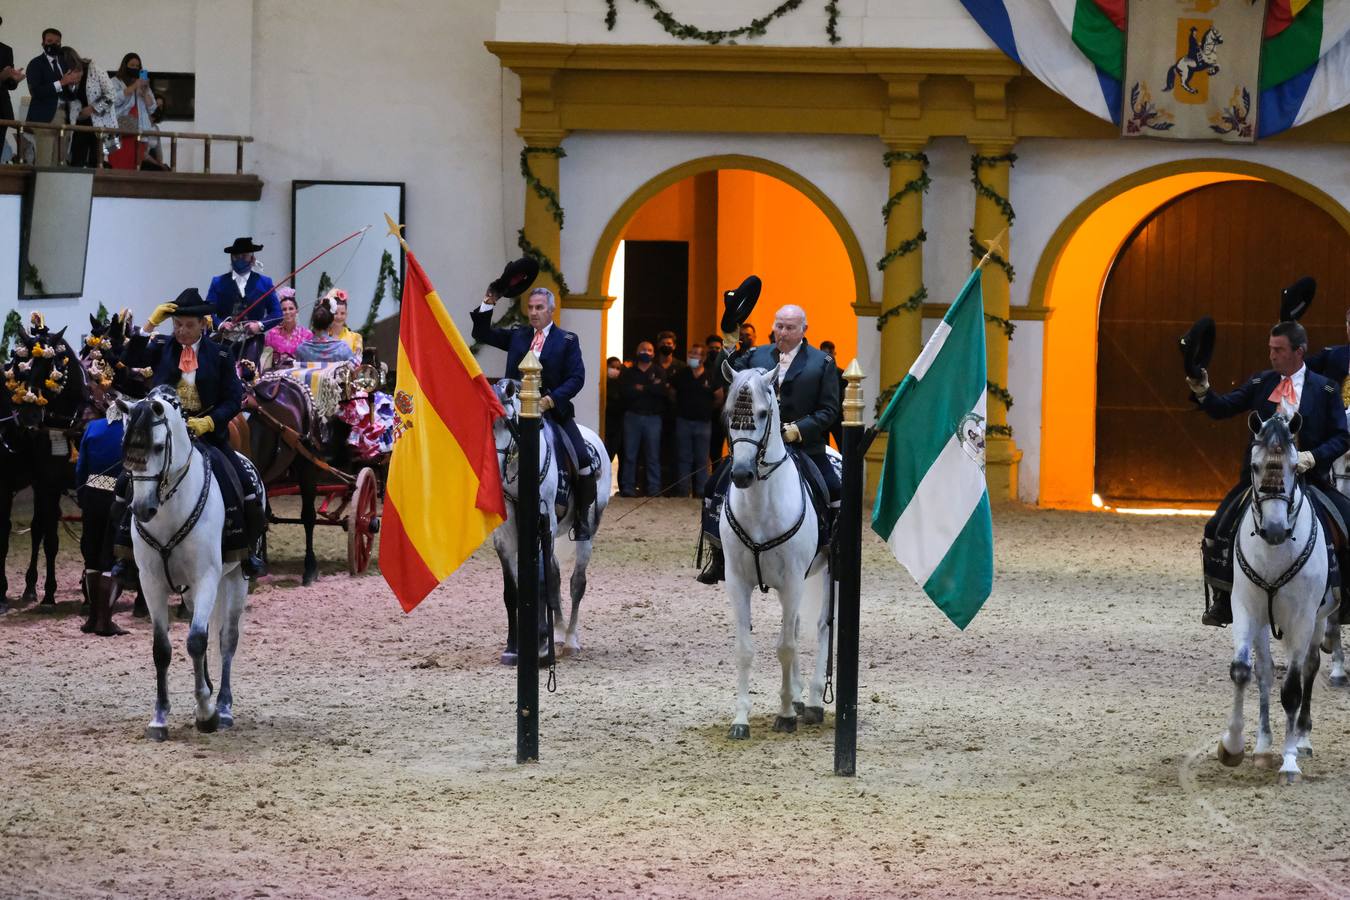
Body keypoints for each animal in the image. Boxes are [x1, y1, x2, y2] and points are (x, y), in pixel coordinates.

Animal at [116, 388, 251, 739]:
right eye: (125, 446)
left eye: (158, 447)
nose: (142, 509)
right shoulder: (151, 584)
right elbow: (162, 649)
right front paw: (159, 717)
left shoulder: (207, 578)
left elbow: (197, 640)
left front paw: (207, 713)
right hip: (189, 591)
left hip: (235, 579)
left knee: (226, 639)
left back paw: (223, 707)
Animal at [491, 377, 607, 661]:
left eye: (509, 424)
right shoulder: (504, 537)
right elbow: (512, 591)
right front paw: (512, 647)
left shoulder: (544, 525)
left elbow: (541, 582)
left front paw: (541, 642)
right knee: (555, 577)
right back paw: (558, 632)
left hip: (586, 532)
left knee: (577, 582)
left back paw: (570, 640)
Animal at [718, 367, 831, 739]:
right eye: (729, 415)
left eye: (764, 413)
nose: (742, 474)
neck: (760, 508)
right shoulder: (737, 582)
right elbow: (745, 649)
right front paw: (741, 719)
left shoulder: (793, 581)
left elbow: (786, 647)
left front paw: (785, 715)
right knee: (793, 627)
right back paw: (797, 696)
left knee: (822, 627)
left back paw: (812, 701)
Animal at [1220, 412, 1333, 782]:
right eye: (1255, 466)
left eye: (1296, 466)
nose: (1273, 530)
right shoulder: (1246, 609)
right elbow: (1244, 671)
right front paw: (1233, 747)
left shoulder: (1302, 619)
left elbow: (1293, 689)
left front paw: (1289, 761)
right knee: (1266, 672)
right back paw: (1263, 747)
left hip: (1320, 619)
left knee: (1309, 668)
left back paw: (1301, 741)